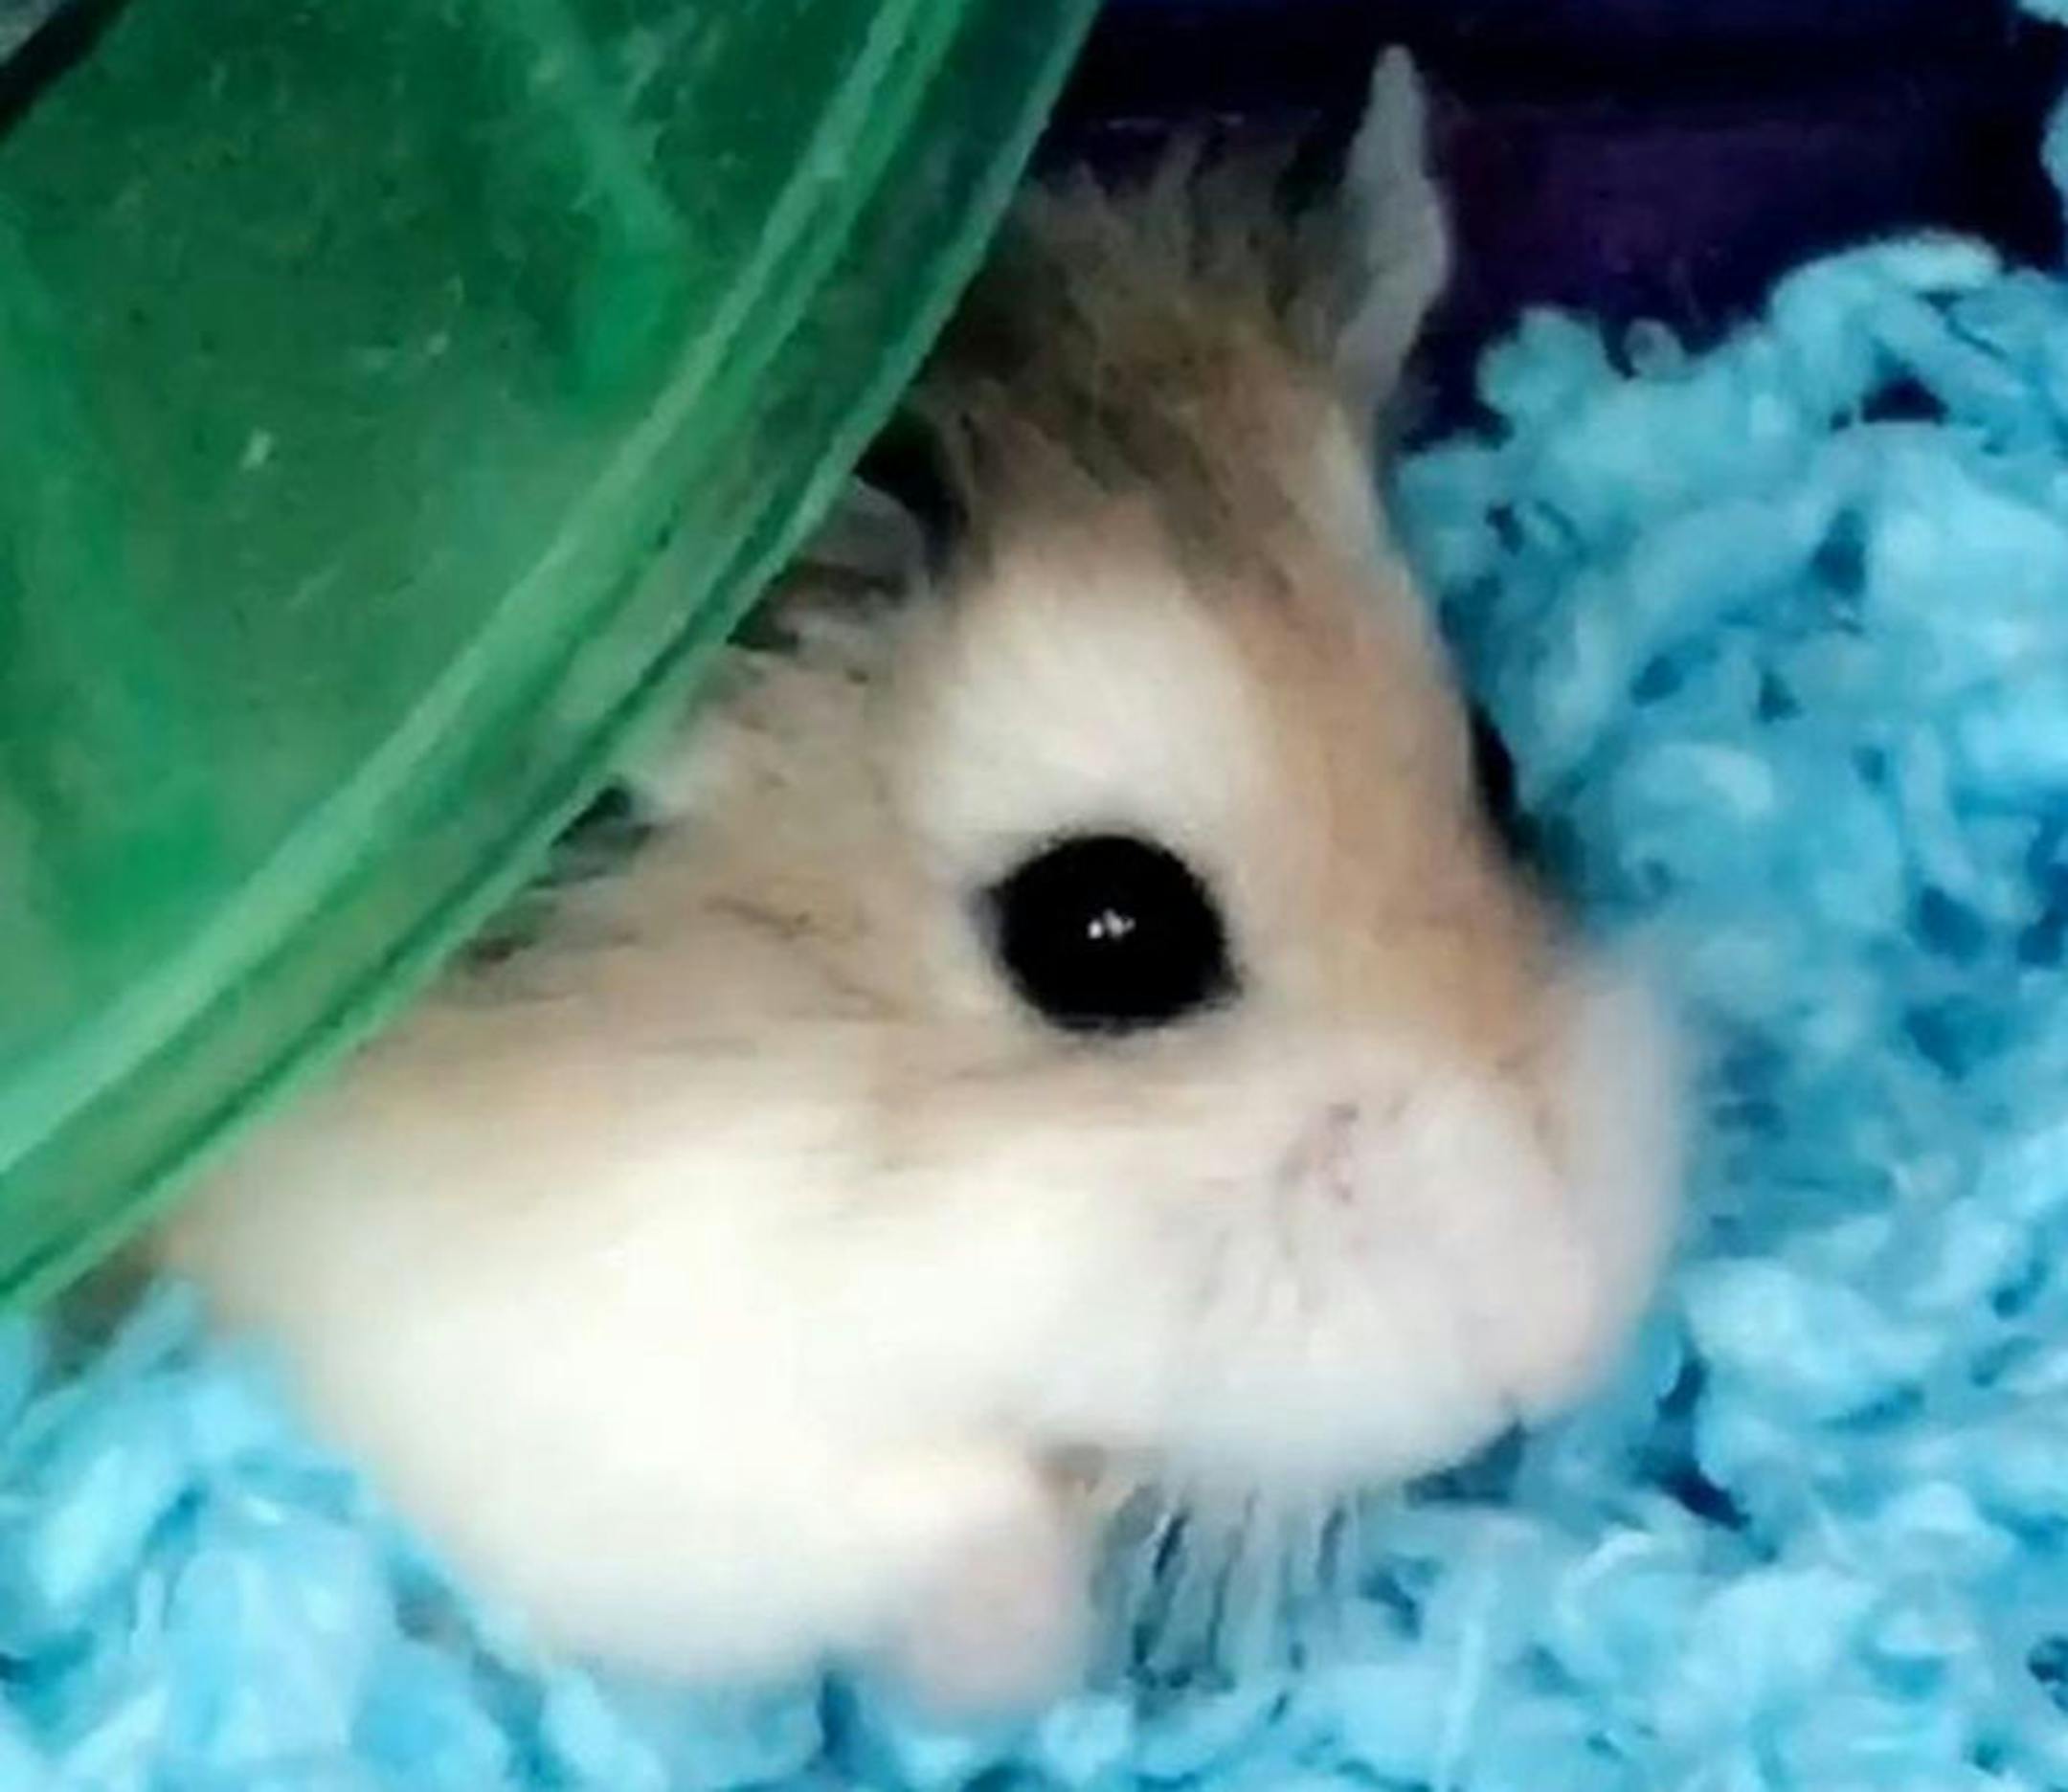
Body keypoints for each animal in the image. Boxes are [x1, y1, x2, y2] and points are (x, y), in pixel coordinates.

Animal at [161, 53, 1679, 1717]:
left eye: (1497, 760)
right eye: (1104, 931)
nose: (1567, 1342)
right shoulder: (565, 1411)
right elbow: (927, 1523)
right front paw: (1027, 1642)